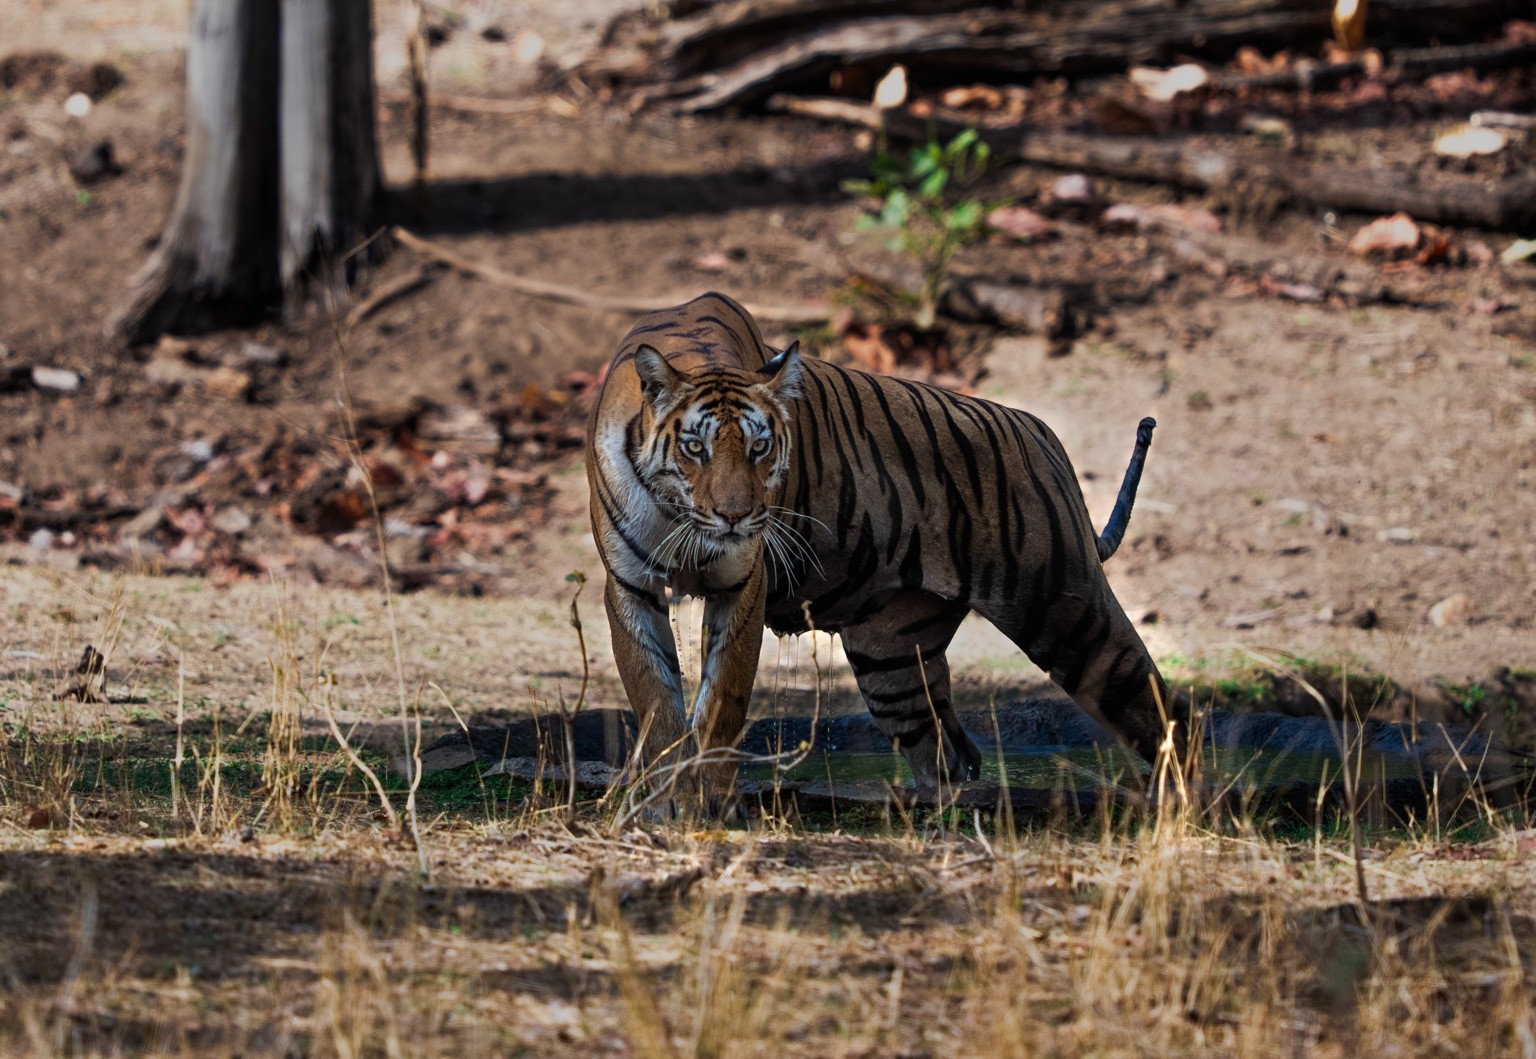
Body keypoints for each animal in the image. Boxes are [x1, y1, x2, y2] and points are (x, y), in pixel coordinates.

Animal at [586, 291, 1171, 800]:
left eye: (760, 447)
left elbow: (721, 700)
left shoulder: (741, 585)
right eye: (695, 448)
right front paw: (668, 798)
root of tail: (1042, 433)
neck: (678, 515)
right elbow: (656, 697)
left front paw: (705, 796)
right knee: (949, 753)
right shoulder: (631, 586)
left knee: (1168, 713)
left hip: (1064, 612)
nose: (735, 517)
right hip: (891, 661)